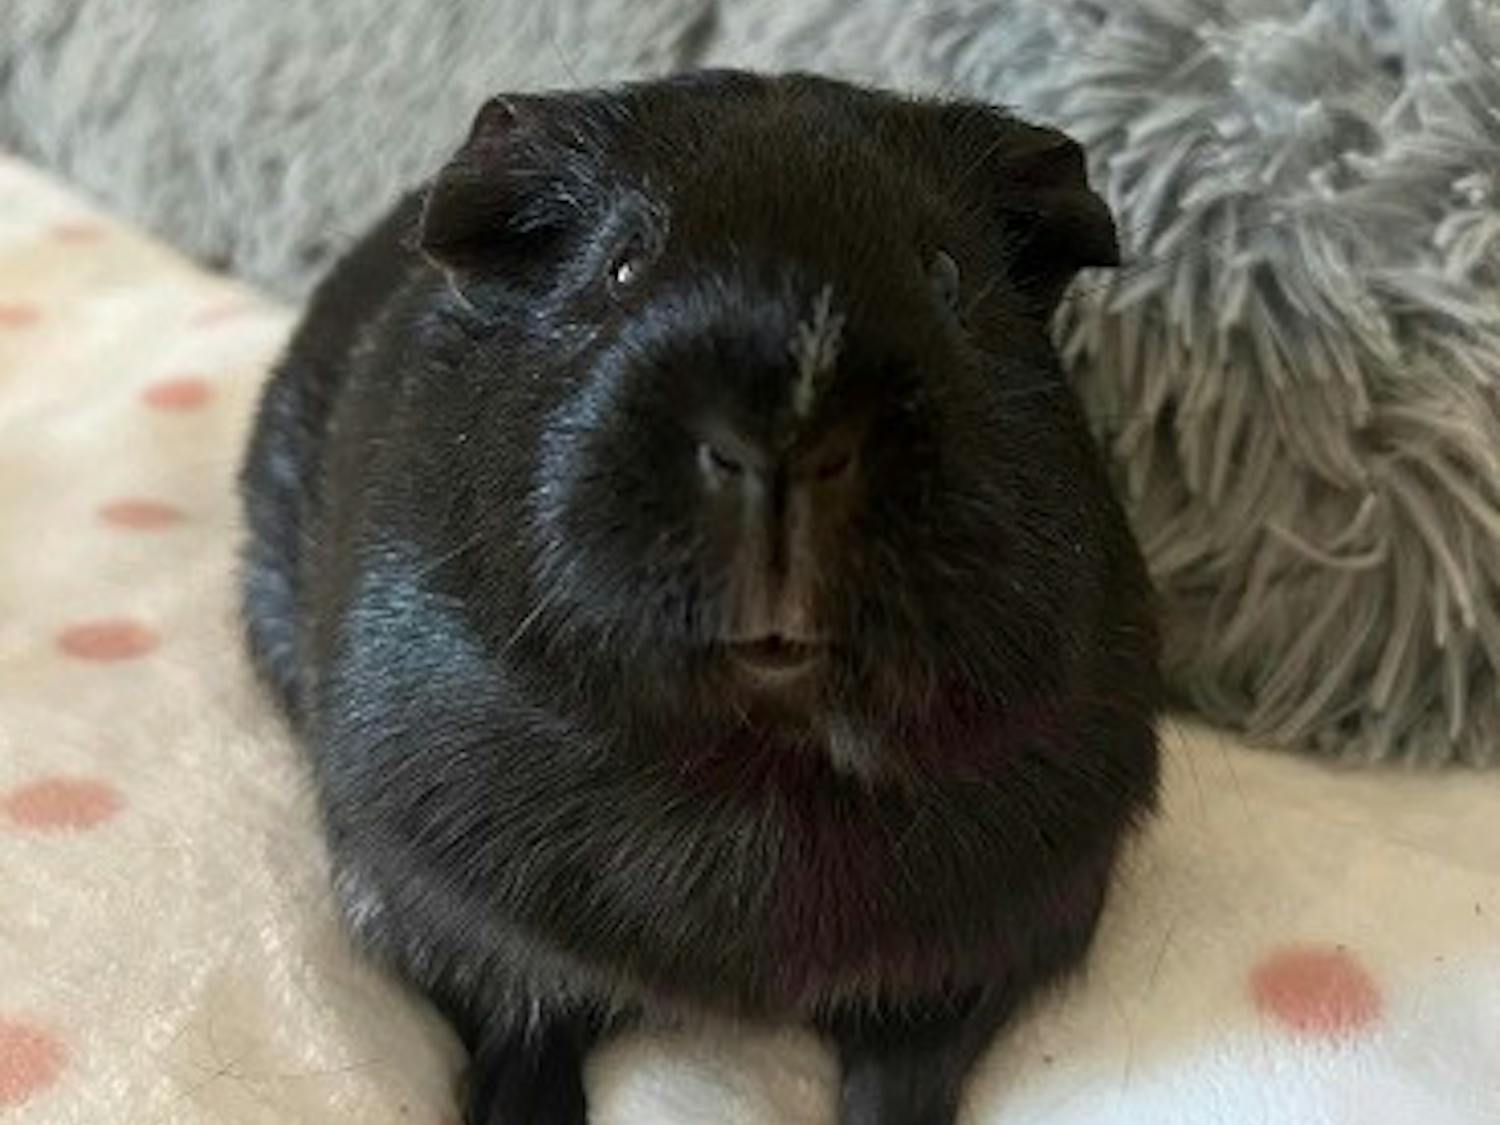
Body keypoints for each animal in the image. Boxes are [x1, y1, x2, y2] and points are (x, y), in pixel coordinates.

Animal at [238, 69, 1161, 1125]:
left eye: (946, 276)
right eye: (622, 269)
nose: (785, 442)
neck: (766, 761)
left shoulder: (1015, 926)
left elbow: (906, 1067)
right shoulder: (426, 897)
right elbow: (521, 1017)